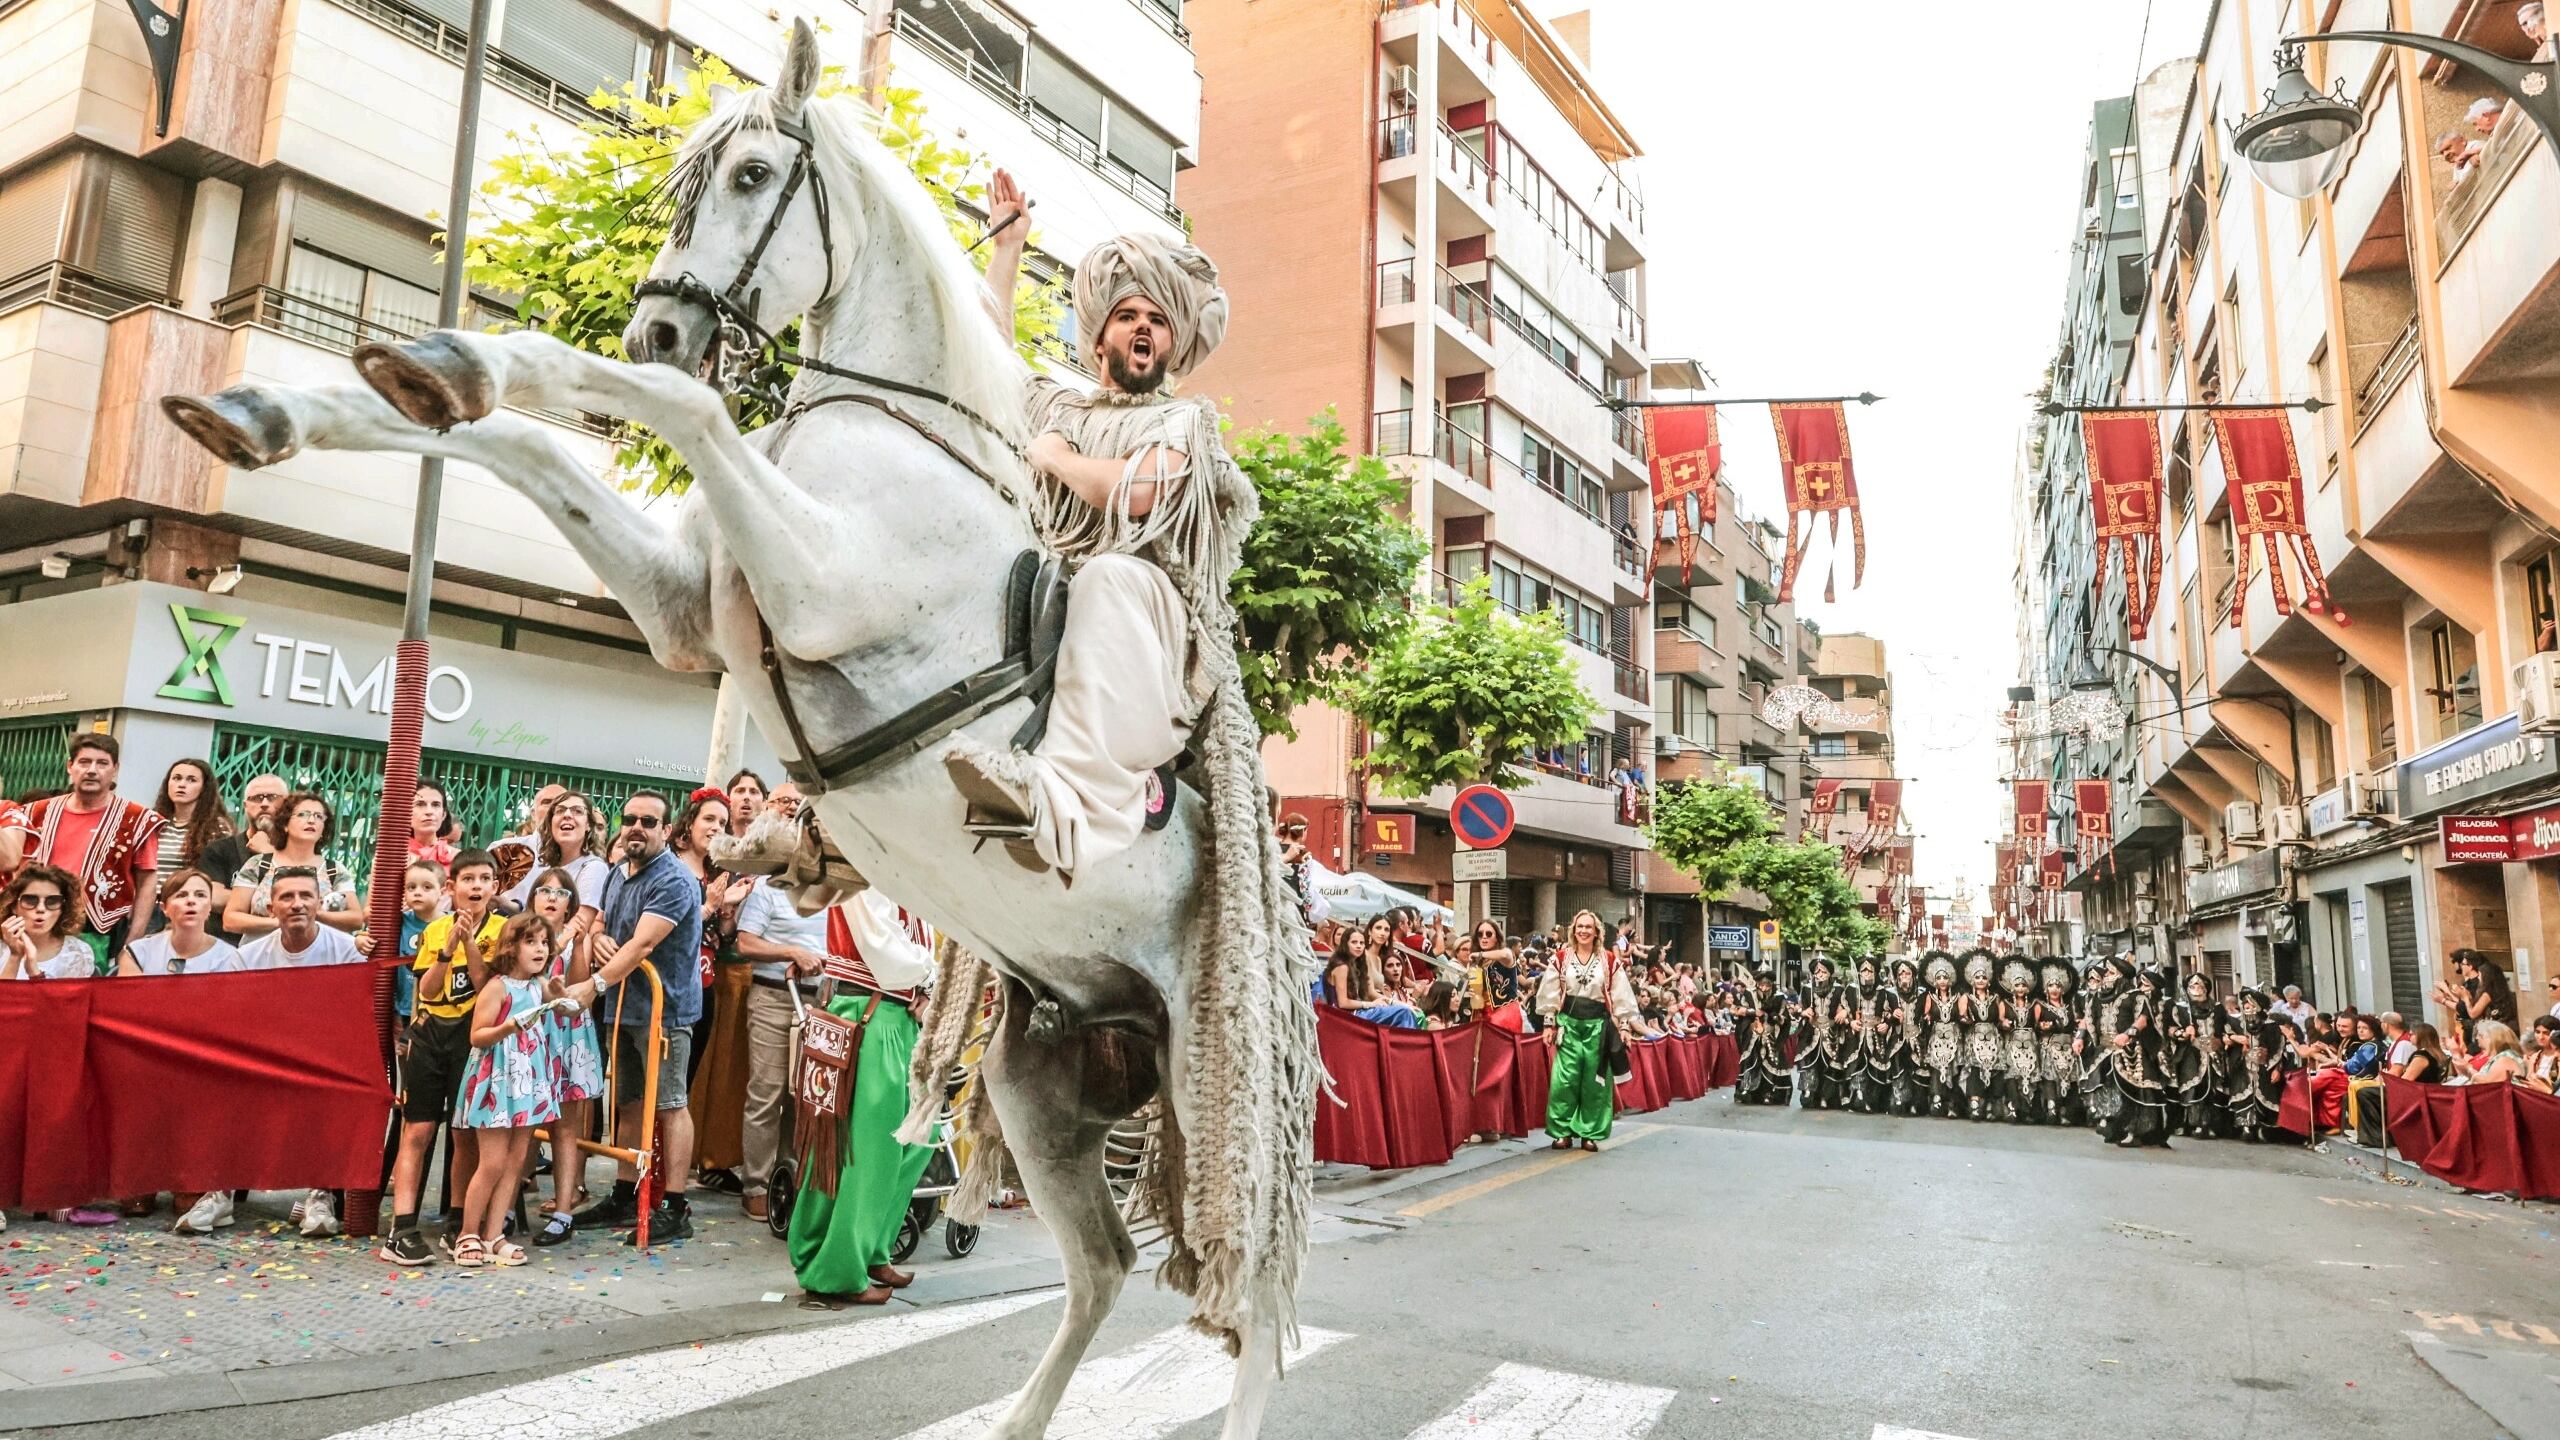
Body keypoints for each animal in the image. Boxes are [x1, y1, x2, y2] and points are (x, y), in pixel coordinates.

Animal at [165, 22, 1300, 1434]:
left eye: (757, 174)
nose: (659, 321)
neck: (878, 427)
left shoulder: (817, 585)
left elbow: (678, 409)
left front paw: (468, 361)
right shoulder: (683, 612)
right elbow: (518, 445)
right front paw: (291, 405)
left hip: (1219, 1088)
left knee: (1244, 1307)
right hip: (1046, 1082)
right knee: (1097, 1273)